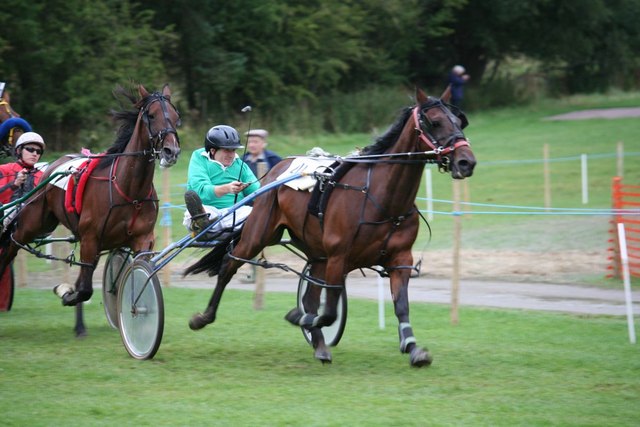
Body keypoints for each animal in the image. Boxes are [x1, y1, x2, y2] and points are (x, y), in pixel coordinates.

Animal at [0, 83, 181, 338]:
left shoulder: (142, 240)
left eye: (176, 116)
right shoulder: (90, 238)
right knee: (11, 246)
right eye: (152, 115)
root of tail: (49, 168)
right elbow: (84, 289)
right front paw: (65, 292)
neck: (129, 190)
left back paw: (79, 326)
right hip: (35, 223)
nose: (171, 151)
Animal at [185, 87, 476, 368]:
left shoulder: (400, 258)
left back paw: (319, 346)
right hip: (259, 234)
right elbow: (329, 312)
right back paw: (203, 317)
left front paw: (414, 348)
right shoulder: (339, 256)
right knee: (229, 265)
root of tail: (274, 171)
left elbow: (400, 305)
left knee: (311, 293)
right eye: (435, 122)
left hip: (316, 252)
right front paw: (299, 317)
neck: (382, 198)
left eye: (459, 120)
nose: (466, 161)